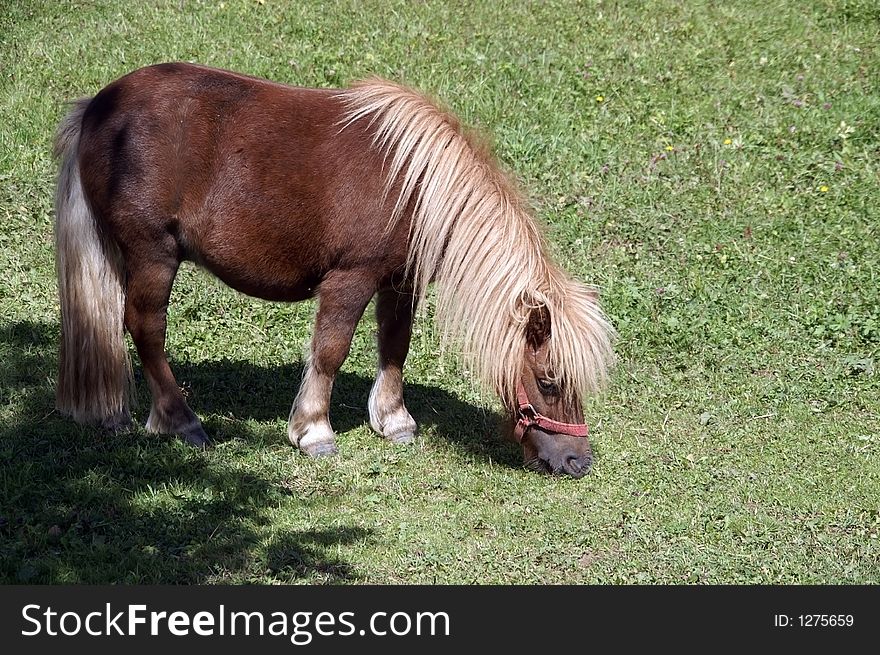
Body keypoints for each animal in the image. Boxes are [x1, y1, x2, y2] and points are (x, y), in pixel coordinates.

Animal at [51, 64, 616, 480]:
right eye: (547, 381)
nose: (577, 462)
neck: (412, 183)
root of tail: (99, 108)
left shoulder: (399, 282)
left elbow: (395, 345)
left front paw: (393, 420)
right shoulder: (350, 280)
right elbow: (330, 352)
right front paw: (313, 431)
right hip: (154, 255)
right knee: (145, 328)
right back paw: (180, 421)